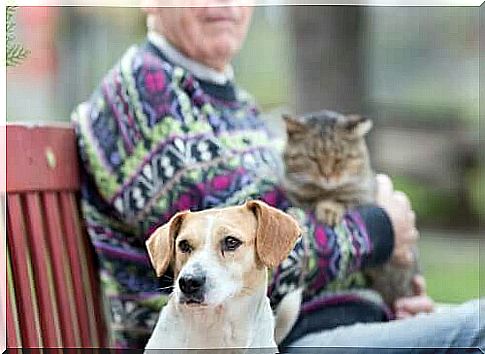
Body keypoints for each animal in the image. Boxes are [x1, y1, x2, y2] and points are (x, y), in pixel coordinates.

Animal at [282, 110, 418, 306]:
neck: (324, 191)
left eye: (340, 159)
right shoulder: (297, 196)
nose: (327, 176)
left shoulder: (364, 195)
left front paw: (329, 208)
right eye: (313, 158)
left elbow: (342, 199)